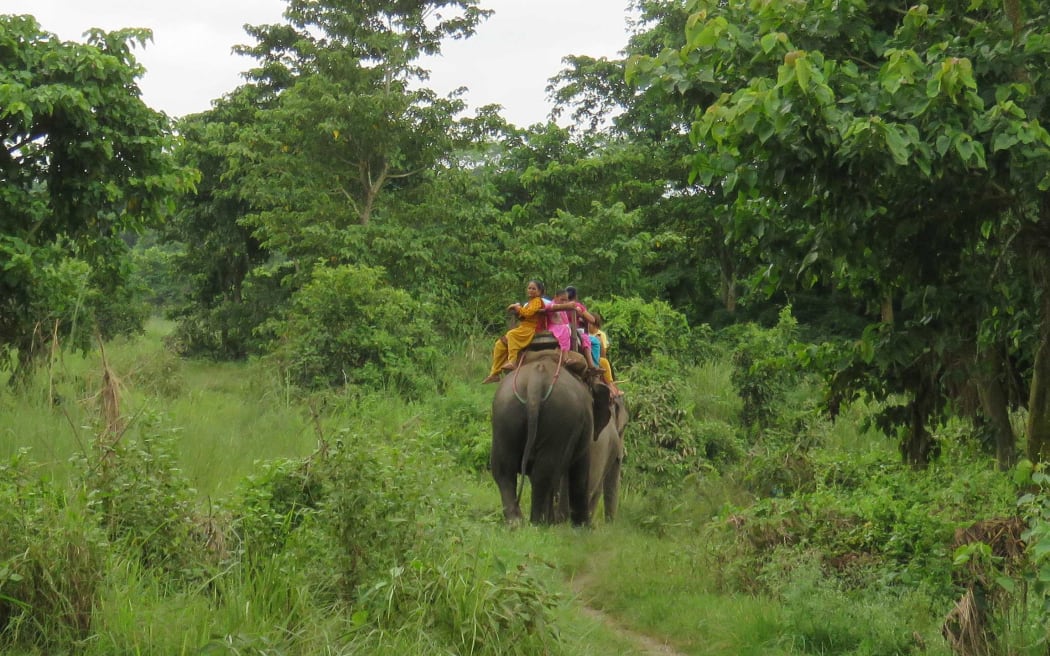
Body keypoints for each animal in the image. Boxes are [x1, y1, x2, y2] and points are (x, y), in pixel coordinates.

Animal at [490, 349, 612, 526]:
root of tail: (535, 381)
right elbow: (580, 473)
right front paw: (584, 527)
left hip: (505, 412)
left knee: (504, 469)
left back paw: (517, 523)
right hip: (560, 418)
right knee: (544, 472)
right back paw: (538, 524)